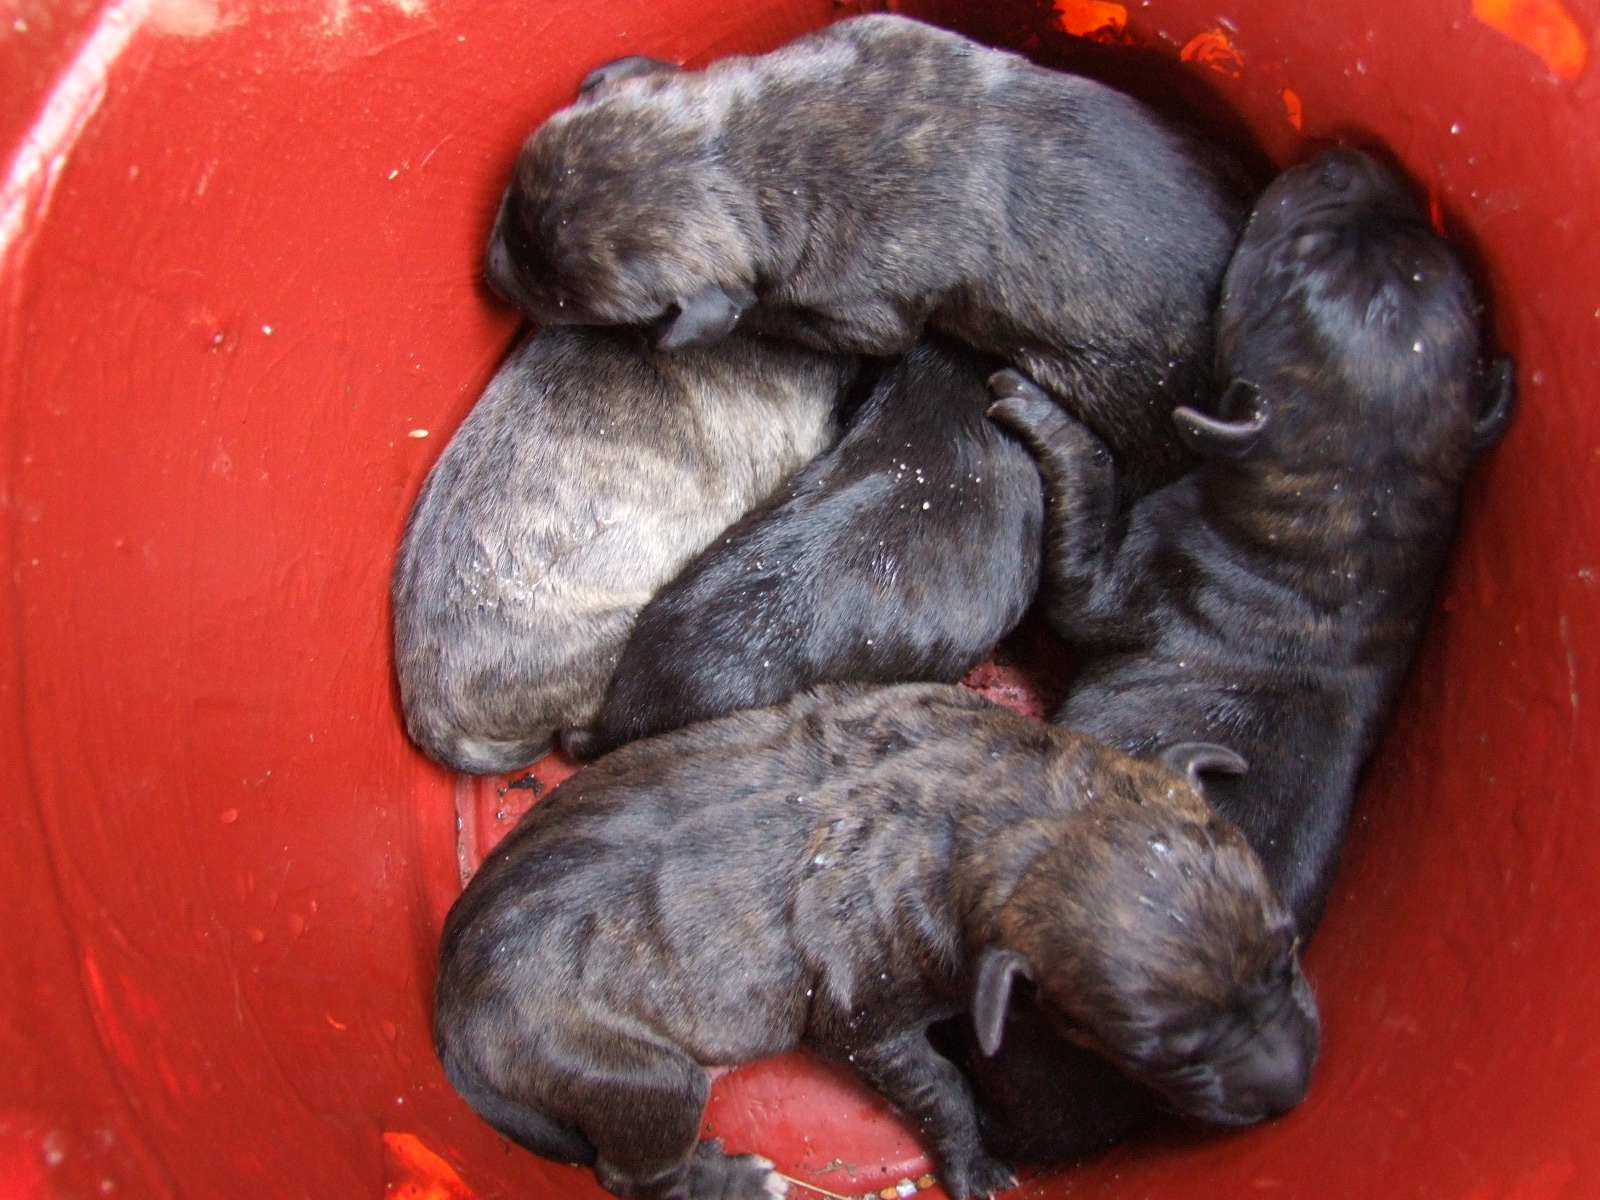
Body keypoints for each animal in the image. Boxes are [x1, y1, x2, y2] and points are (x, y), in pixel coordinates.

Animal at [436, 683, 1319, 1200]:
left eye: (1289, 946)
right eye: (1153, 1048)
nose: (1291, 1088)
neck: (1010, 809)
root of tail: (450, 1003)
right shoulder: (867, 1024)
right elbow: (942, 1087)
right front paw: (973, 1163)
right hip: (642, 1078)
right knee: (632, 1172)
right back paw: (728, 1177)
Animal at [484, 14, 1249, 493]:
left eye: (560, 297)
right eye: (509, 197)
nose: (489, 273)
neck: (746, 151)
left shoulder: (864, 316)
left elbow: (774, 312)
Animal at [970, 147, 1515, 1164]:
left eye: (1290, 263)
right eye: (1448, 273)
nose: (1355, 156)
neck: (1356, 526)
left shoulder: (1144, 573)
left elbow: (1083, 561)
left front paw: (1048, 418)